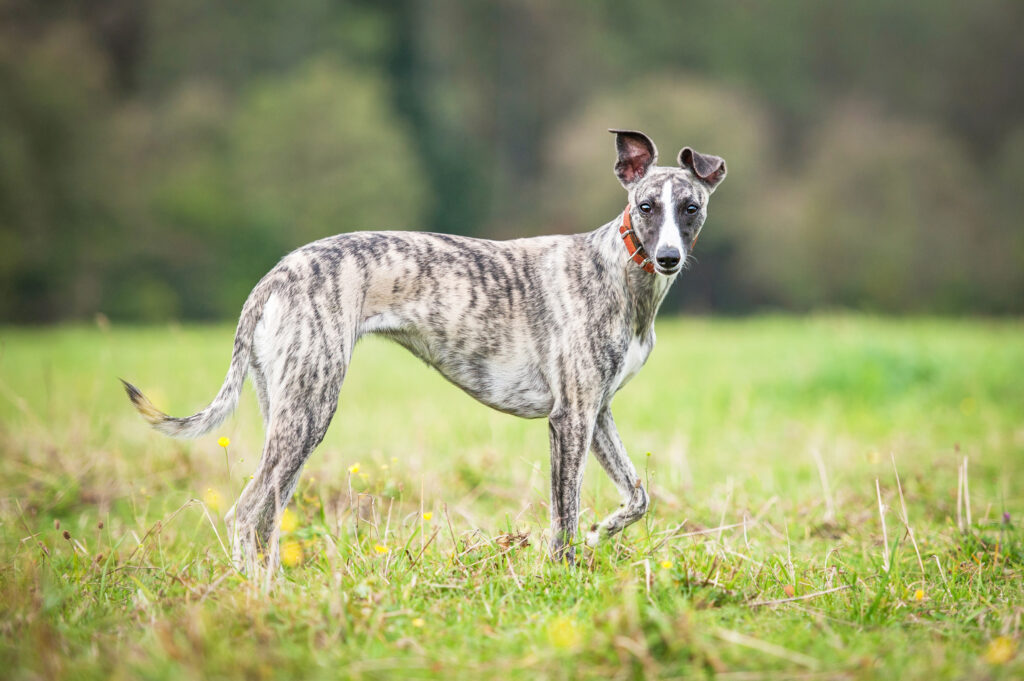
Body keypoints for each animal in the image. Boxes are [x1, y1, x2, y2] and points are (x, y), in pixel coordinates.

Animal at [121, 130, 729, 565]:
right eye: (646, 206)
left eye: (690, 207)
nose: (669, 258)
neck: (618, 272)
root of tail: (274, 277)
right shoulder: (570, 418)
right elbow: (564, 519)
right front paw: (565, 575)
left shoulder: (597, 412)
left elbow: (638, 496)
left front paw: (605, 531)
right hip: (310, 409)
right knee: (247, 514)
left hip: (286, 410)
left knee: (268, 515)